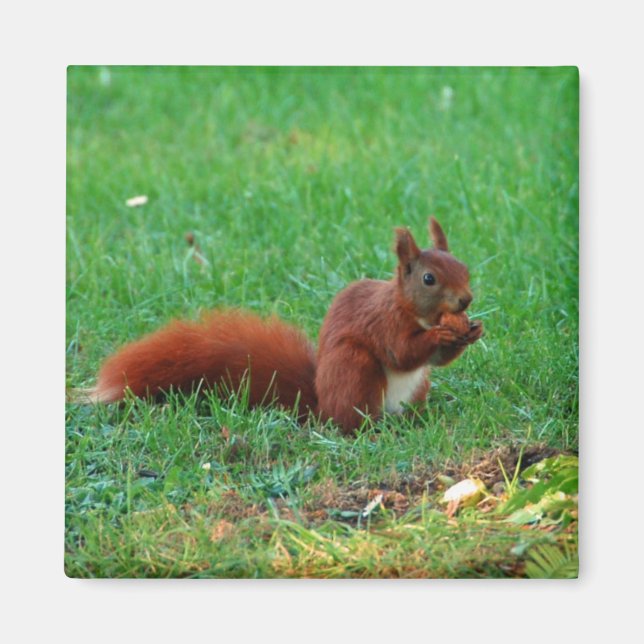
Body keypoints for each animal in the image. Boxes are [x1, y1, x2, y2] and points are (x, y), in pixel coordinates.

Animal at [89, 217, 483, 434]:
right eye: (429, 279)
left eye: (464, 267)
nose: (466, 300)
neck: (414, 311)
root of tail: (322, 406)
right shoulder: (384, 322)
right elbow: (402, 352)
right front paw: (441, 333)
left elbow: (436, 360)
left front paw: (472, 331)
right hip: (355, 369)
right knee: (351, 420)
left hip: (416, 388)